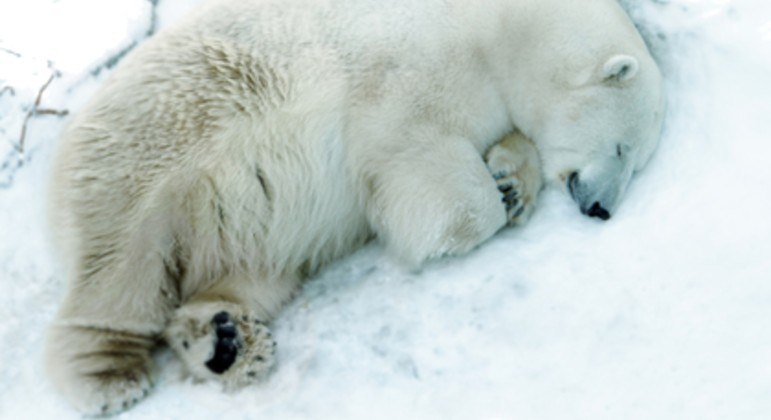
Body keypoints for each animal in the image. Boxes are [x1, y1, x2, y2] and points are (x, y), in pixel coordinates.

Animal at [45, 0, 668, 414]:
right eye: (624, 149)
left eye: (636, 161)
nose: (602, 209)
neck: (498, 28)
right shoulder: (407, 71)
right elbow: (414, 156)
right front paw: (467, 216)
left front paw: (512, 182)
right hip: (156, 151)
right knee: (121, 265)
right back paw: (110, 376)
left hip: (240, 229)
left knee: (251, 273)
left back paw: (226, 341)